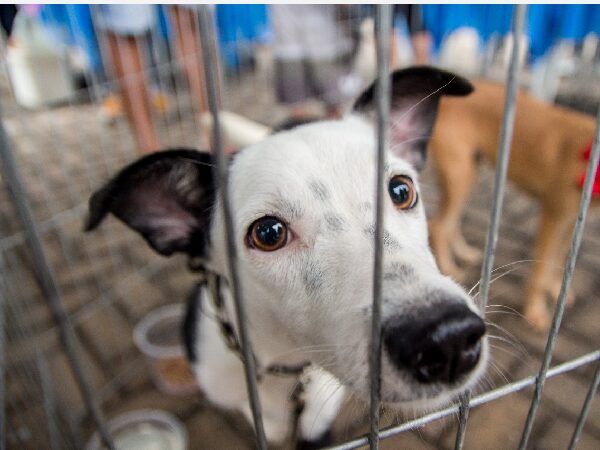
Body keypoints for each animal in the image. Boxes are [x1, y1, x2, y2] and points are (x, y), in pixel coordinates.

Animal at [428, 79, 596, 328]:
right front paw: (535, 311)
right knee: (439, 225)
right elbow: (541, 268)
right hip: (460, 173)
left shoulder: (572, 222)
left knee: (450, 221)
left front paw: (555, 290)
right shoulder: (553, 216)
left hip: (468, 171)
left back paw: (463, 252)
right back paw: (450, 267)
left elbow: (560, 259)